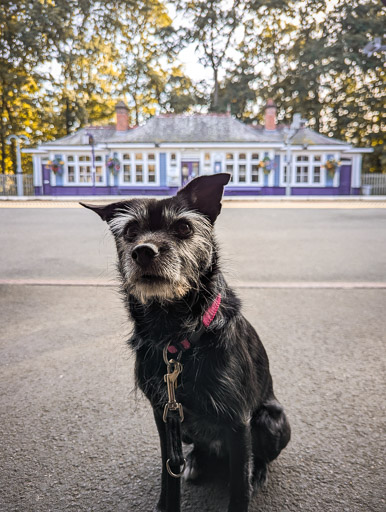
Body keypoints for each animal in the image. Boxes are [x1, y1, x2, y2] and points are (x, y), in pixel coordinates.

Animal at [83, 173, 292, 512]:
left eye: (183, 227)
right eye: (130, 231)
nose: (143, 251)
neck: (174, 333)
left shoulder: (239, 421)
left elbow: (239, 486)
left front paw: (246, 483)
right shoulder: (163, 414)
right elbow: (168, 473)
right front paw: (165, 502)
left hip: (269, 420)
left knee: (257, 458)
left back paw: (257, 471)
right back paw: (195, 461)